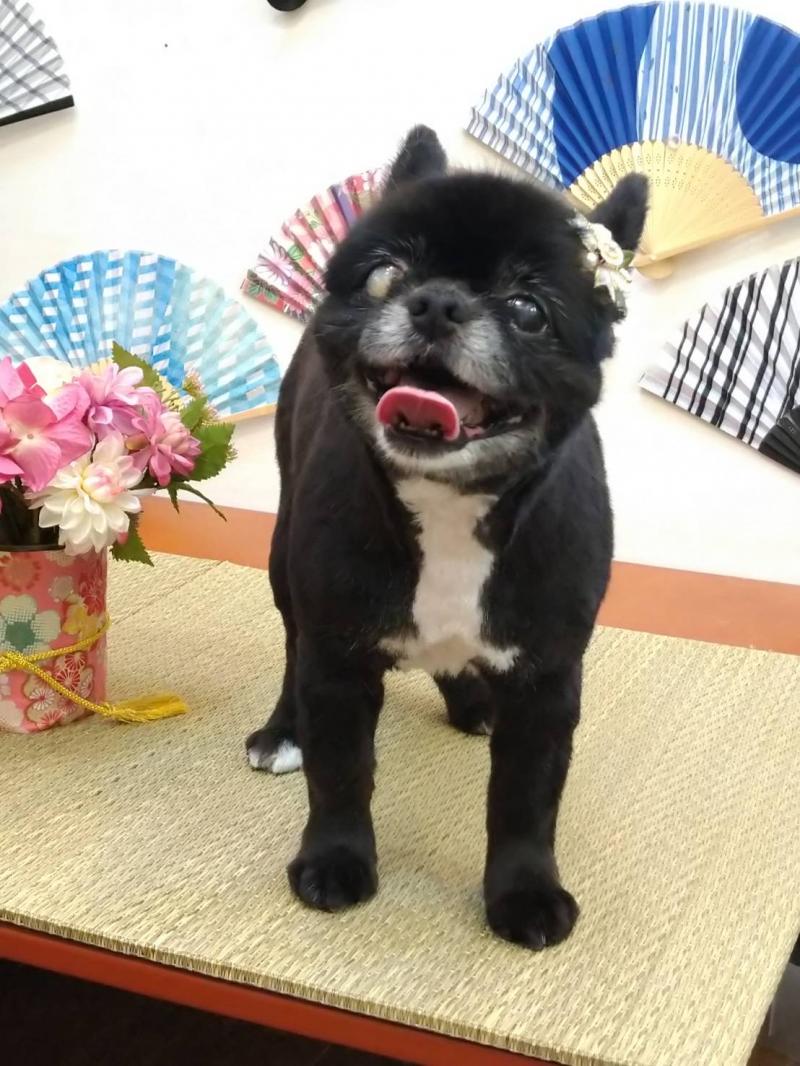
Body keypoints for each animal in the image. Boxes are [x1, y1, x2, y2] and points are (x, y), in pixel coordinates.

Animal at [247, 126, 647, 949]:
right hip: (285, 561)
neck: (451, 508)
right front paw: (334, 861)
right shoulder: (337, 659)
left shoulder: (547, 681)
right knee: (292, 646)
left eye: (528, 309)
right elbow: (341, 773)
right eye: (385, 275)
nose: (437, 301)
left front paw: (525, 892)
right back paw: (282, 730)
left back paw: (471, 701)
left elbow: (526, 800)